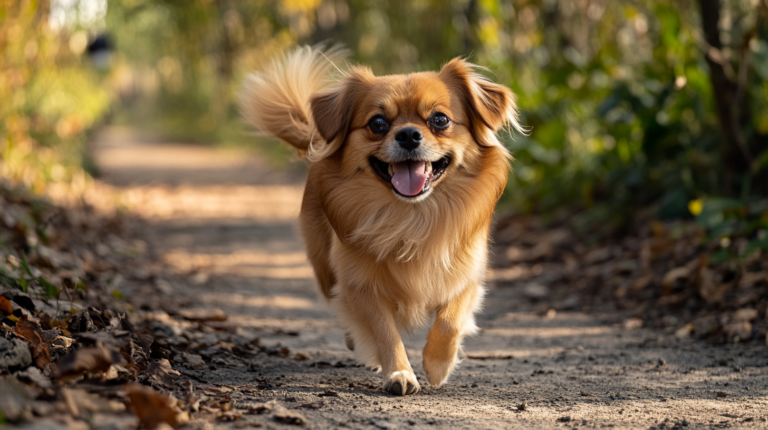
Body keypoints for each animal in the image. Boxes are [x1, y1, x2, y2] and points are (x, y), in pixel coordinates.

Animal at [242, 47, 520, 396]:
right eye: (377, 123)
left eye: (440, 119)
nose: (409, 134)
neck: (412, 216)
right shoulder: (360, 284)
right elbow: (384, 330)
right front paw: (400, 372)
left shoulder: (467, 275)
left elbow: (449, 319)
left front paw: (438, 365)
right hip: (324, 267)